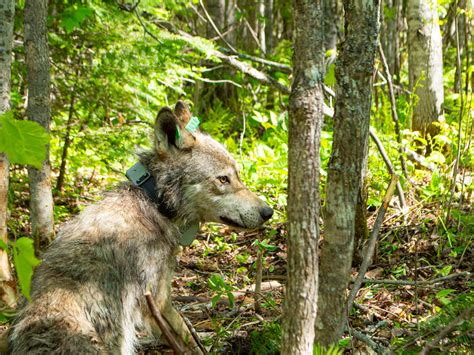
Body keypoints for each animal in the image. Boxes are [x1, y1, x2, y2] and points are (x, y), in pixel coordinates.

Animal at [8, 101, 274, 354]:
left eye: (238, 176)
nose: (268, 212)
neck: (154, 202)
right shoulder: (158, 299)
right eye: (223, 179)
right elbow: (188, 337)